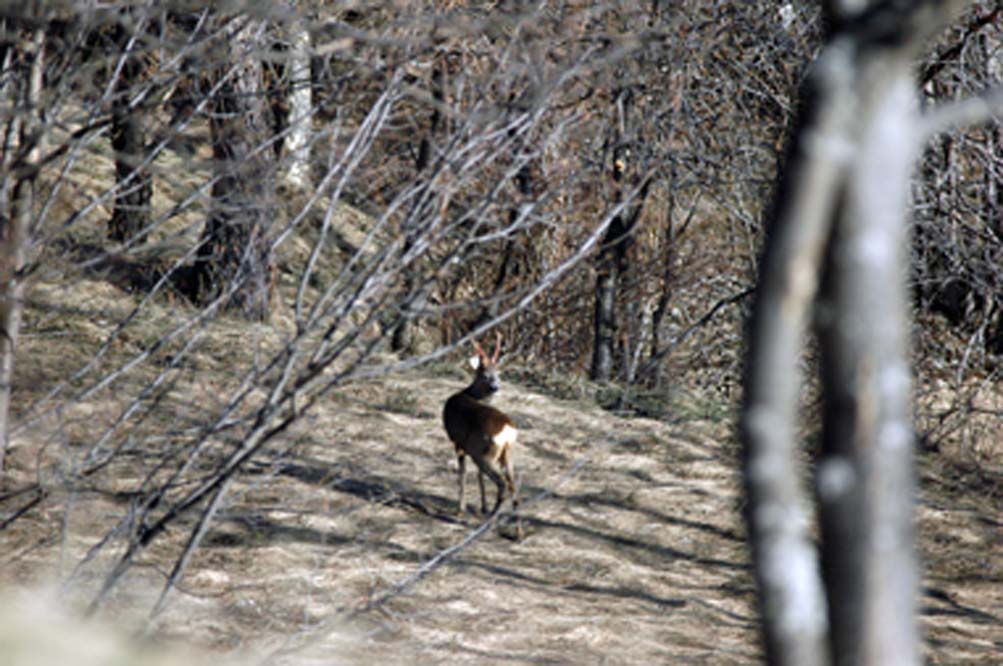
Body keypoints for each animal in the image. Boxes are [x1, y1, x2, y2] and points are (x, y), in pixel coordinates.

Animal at [447, 333, 525, 541]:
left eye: (497, 374)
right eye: (486, 374)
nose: (496, 387)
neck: (469, 394)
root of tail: (507, 430)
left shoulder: (458, 442)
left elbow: (463, 472)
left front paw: (460, 509)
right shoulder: (470, 446)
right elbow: (478, 475)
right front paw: (482, 506)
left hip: (485, 454)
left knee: (502, 485)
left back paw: (488, 523)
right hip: (506, 454)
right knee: (514, 486)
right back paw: (519, 532)